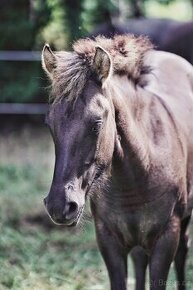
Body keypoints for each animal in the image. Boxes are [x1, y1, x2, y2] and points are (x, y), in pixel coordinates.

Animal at [41, 34, 193, 290]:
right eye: (50, 124)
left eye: (97, 123)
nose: (59, 206)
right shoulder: (108, 240)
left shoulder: (166, 237)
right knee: (140, 258)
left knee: (182, 253)